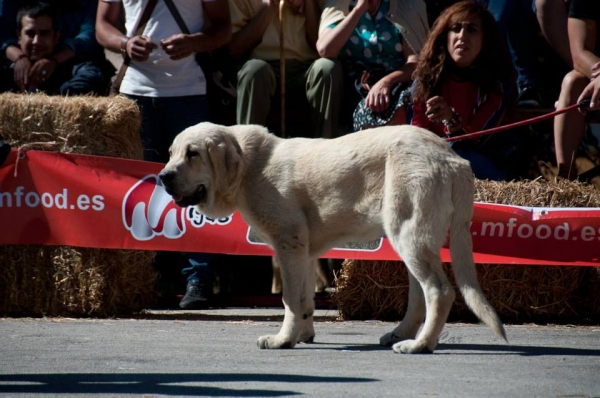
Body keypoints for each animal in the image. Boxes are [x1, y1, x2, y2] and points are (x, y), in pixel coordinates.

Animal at [159, 122, 506, 354]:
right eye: (172, 153)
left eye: (193, 154)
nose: (163, 176)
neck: (248, 166)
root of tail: (452, 158)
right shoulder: (304, 252)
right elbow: (304, 298)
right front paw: (302, 334)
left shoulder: (289, 243)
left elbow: (289, 298)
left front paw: (282, 340)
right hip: (411, 239)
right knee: (419, 295)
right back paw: (399, 335)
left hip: (410, 235)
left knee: (439, 291)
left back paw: (419, 345)